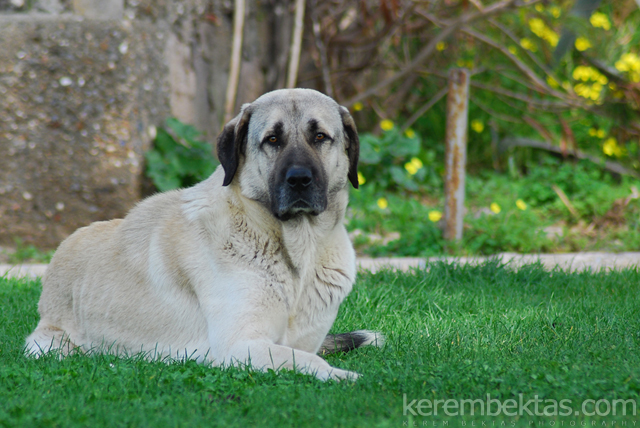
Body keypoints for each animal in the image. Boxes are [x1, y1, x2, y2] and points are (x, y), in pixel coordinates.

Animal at [25, 88, 382, 380]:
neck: (296, 252)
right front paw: (344, 376)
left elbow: (307, 353)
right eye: (272, 140)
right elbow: (308, 361)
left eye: (320, 136)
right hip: (50, 346)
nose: (299, 179)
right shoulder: (239, 346)